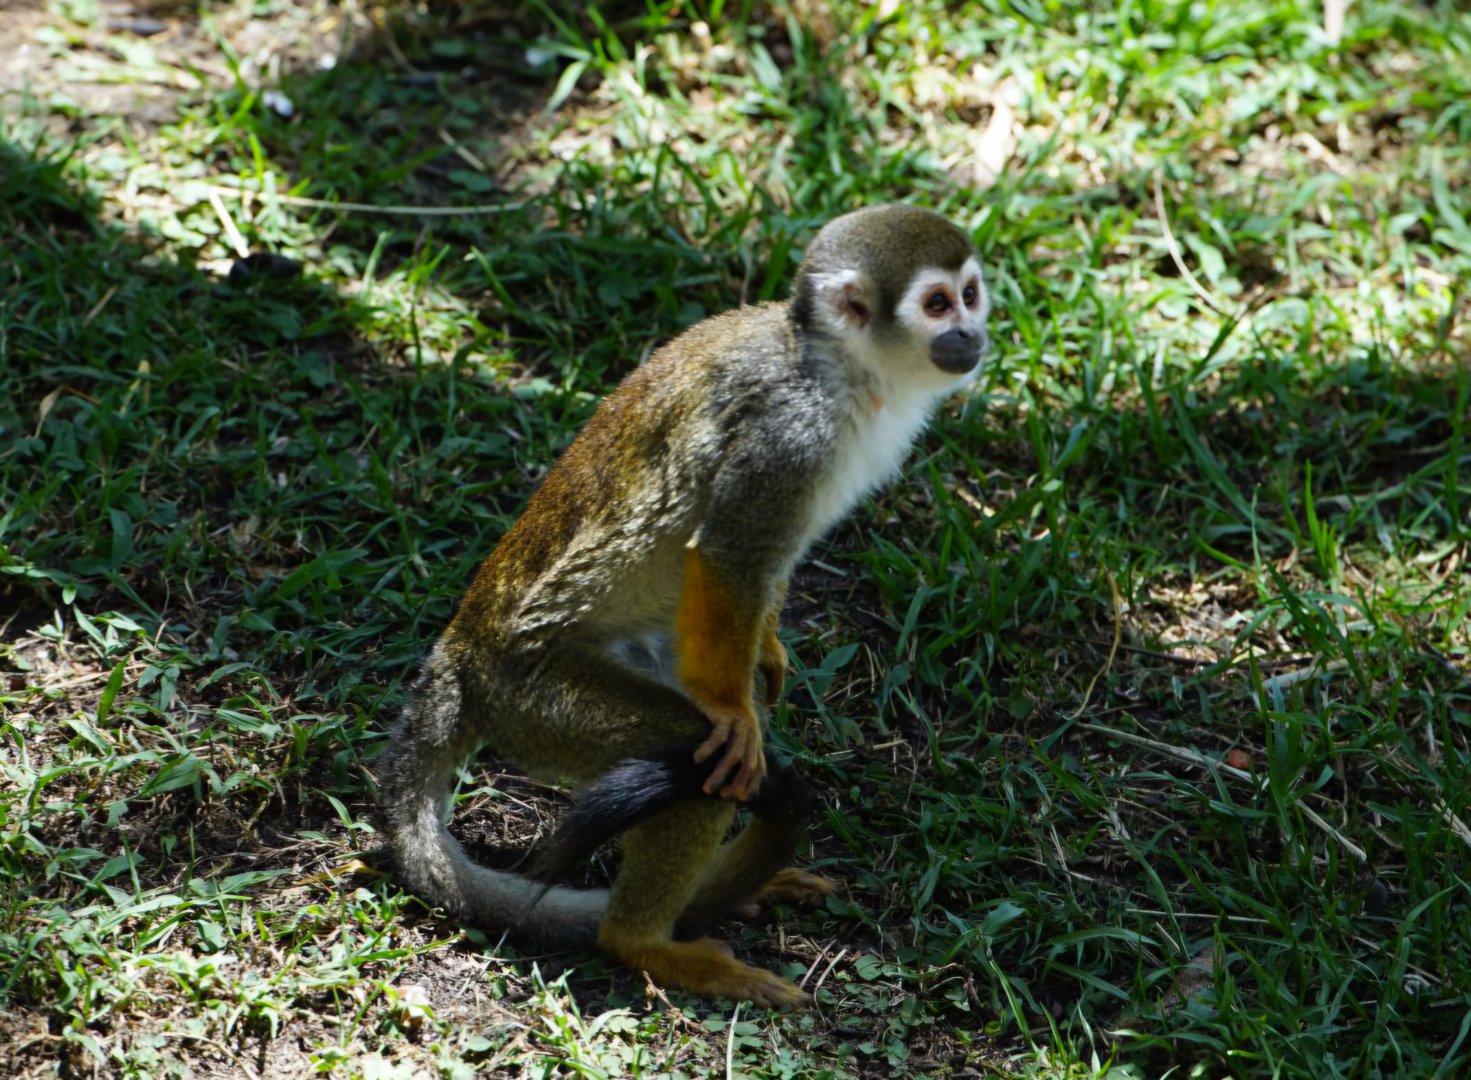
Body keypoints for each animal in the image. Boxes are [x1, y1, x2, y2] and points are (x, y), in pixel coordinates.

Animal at [377, 203, 991, 1008]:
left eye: (971, 295)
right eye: (937, 305)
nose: (973, 335)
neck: (831, 363)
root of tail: (457, 651)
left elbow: (765, 567)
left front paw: (767, 646)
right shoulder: (789, 435)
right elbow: (730, 553)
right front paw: (733, 715)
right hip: (535, 701)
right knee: (690, 767)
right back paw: (643, 942)